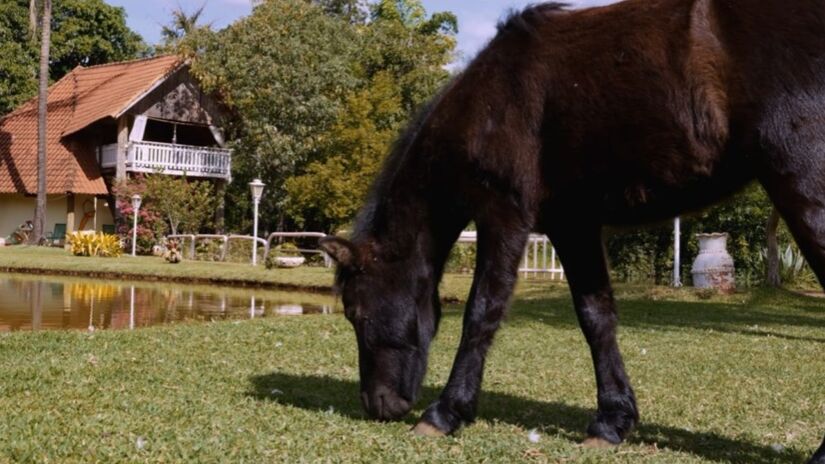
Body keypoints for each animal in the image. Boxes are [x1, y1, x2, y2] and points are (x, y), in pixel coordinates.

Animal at [318, 0, 824, 460]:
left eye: (354, 312)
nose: (379, 405)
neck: (488, 102)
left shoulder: (504, 215)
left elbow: (482, 311)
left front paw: (444, 414)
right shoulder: (572, 225)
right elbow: (596, 316)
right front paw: (612, 421)